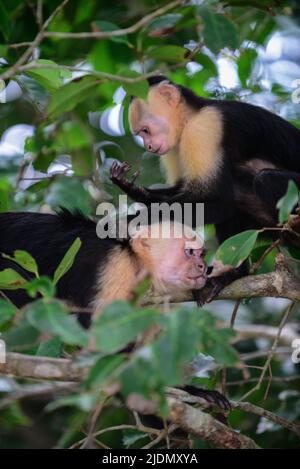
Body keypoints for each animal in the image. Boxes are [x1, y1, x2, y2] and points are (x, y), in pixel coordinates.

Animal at [110, 75, 300, 298]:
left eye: (146, 131)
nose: (148, 146)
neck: (190, 118)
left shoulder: (203, 129)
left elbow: (218, 201)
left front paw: (128, 222)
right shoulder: (174, 146)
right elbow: (183, 189)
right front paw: (133, 189)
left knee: (263, 180)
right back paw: (233, 275)